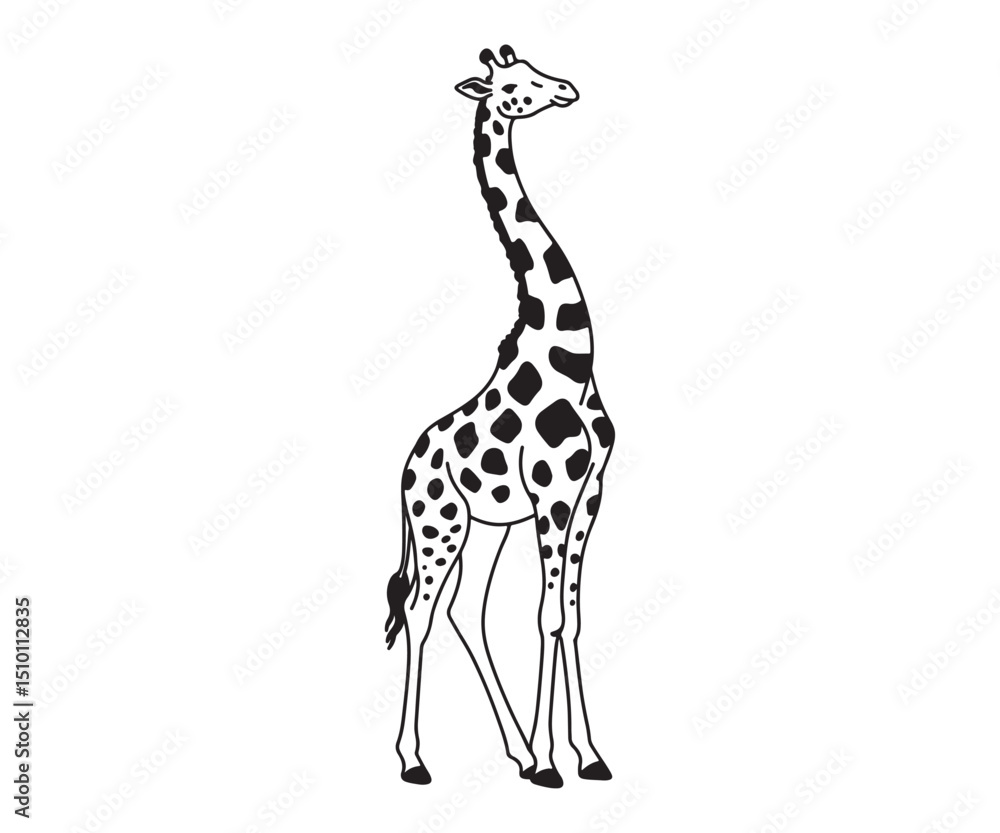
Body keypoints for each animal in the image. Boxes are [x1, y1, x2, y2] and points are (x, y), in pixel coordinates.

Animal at [384, 45, 615, 789]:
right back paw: (415, 759)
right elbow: (546, 616)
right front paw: (554, 760)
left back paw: (516, 752)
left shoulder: (590, 491)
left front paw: (586, 755)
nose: (567, 89)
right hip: (439, 525)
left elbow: (569, 615)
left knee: (465, 611)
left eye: (539, 70)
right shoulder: (554, 493)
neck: (570, 356)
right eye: (512, 84)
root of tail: (405, 468)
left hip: (486, 527)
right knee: (421, 610)